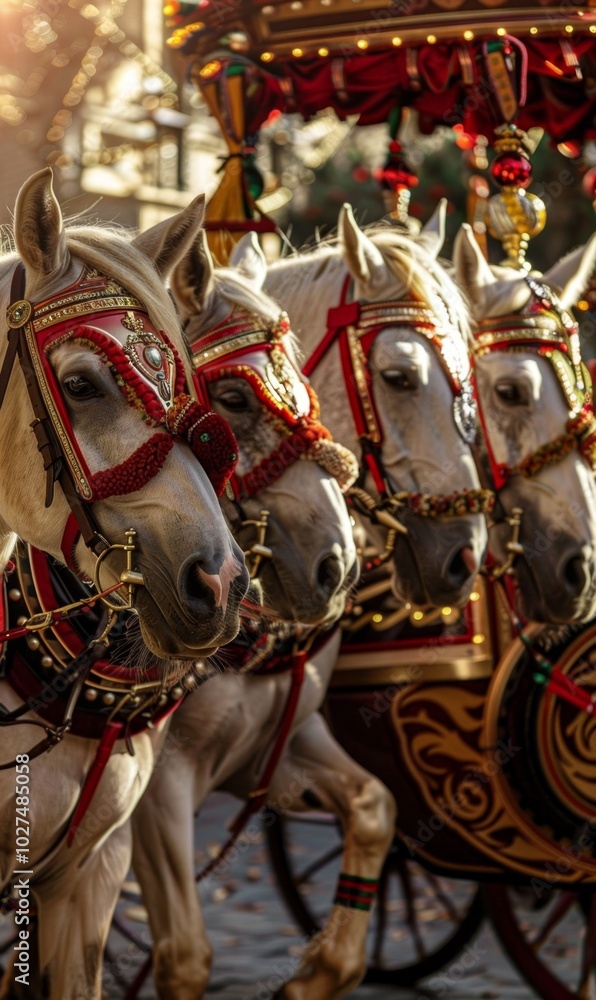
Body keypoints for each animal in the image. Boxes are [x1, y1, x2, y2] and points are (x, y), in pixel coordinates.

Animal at [128, 230, 397, 1000]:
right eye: (232, 396)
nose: (337, 564)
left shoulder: (272, 748)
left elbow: (374, 808)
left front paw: (317, 973)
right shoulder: (156, 786)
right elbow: (185, 955)